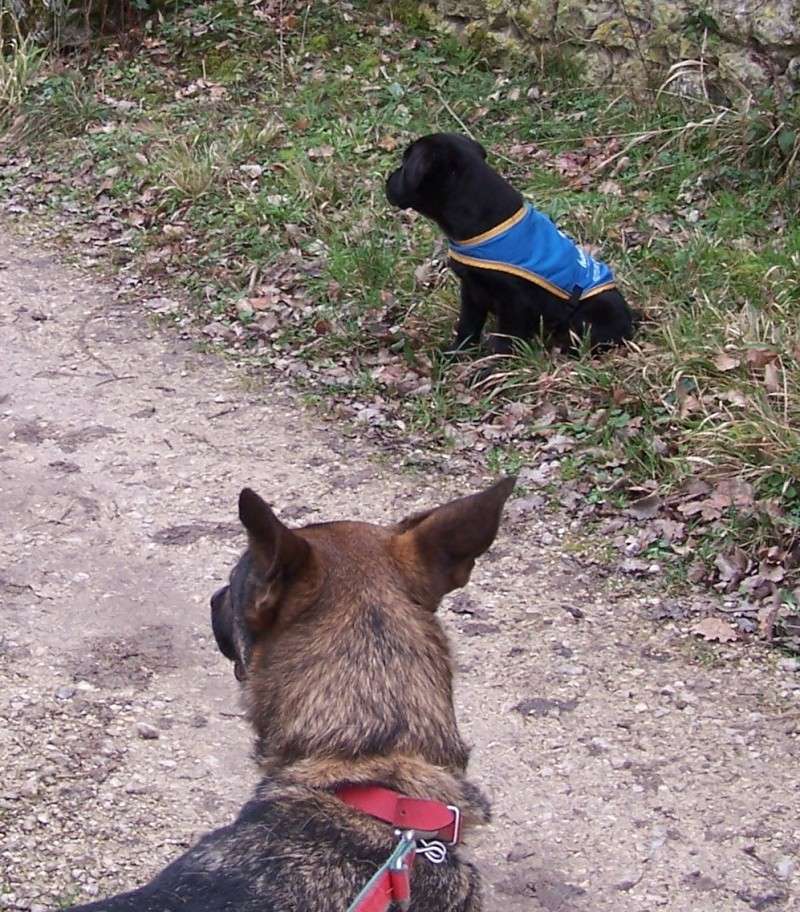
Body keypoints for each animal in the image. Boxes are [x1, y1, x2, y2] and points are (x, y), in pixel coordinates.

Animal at [384, 135, 636, 356]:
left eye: (405, 165)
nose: (388, 179)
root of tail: (631, 320)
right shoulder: (471, 291)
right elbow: (467, 327)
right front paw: (457, 354)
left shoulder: (514, 302)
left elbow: (505, 341)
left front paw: (490, 368)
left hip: (594, 311)